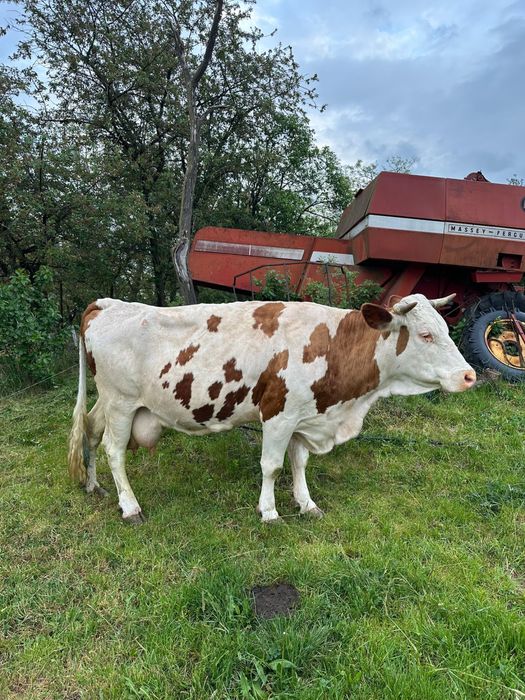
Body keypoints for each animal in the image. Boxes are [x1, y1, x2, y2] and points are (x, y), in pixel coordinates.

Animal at [68, 293, 476, 524]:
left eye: (445, 329)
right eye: (425, 335)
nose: (469, 375)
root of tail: (107, 304)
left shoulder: (303, 415)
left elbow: (299, 463)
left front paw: (306, 503)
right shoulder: (279, 413)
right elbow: (272, 466)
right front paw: (269, 512)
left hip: (108, 401)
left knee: (91, 430)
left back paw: (93, 486)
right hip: (121, 401)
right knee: (115, 451)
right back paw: (130, 506)